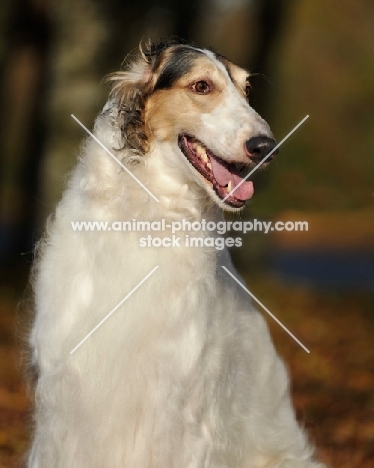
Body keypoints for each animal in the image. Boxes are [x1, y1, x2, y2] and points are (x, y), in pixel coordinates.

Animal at [27, 40, 326, 468]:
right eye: (201, 86)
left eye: (247, 89)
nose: (268, 147)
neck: (148, 219)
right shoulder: (62, 400)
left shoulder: (180, 408)